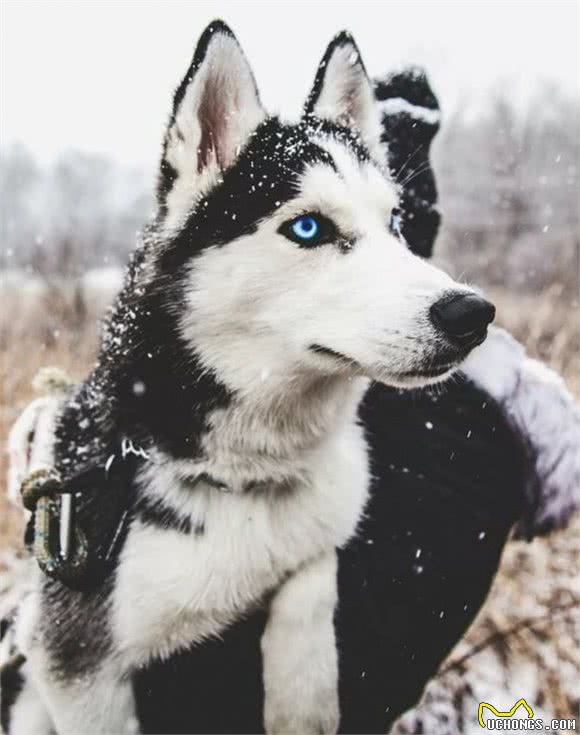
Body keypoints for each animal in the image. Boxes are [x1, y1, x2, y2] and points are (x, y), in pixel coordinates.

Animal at [3, 20, 498, 732]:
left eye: (395, 224)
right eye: (308, 226)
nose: (472, 314)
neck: (245, 476)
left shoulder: (320, 533)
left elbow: (311, 586)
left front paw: (303, 695)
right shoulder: (76, 664)